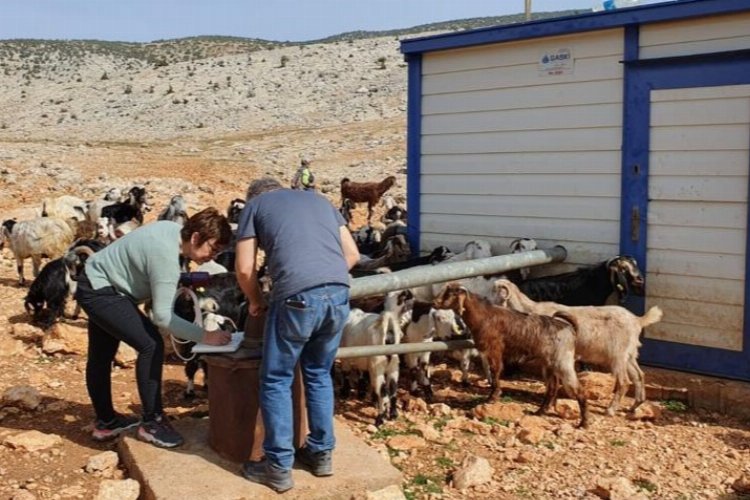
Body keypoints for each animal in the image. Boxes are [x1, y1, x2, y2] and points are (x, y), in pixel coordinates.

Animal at [434, 284, 592, 428]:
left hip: (563, 362)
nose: (435, 303)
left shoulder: (494, 350)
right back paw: (539, 412)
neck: (484, 315)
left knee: (579, 391)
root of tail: (570, 329)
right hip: (549, 365)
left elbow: (495, 371)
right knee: (552, 388)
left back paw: (583, 423)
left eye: (450, 293)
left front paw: (492, 397)